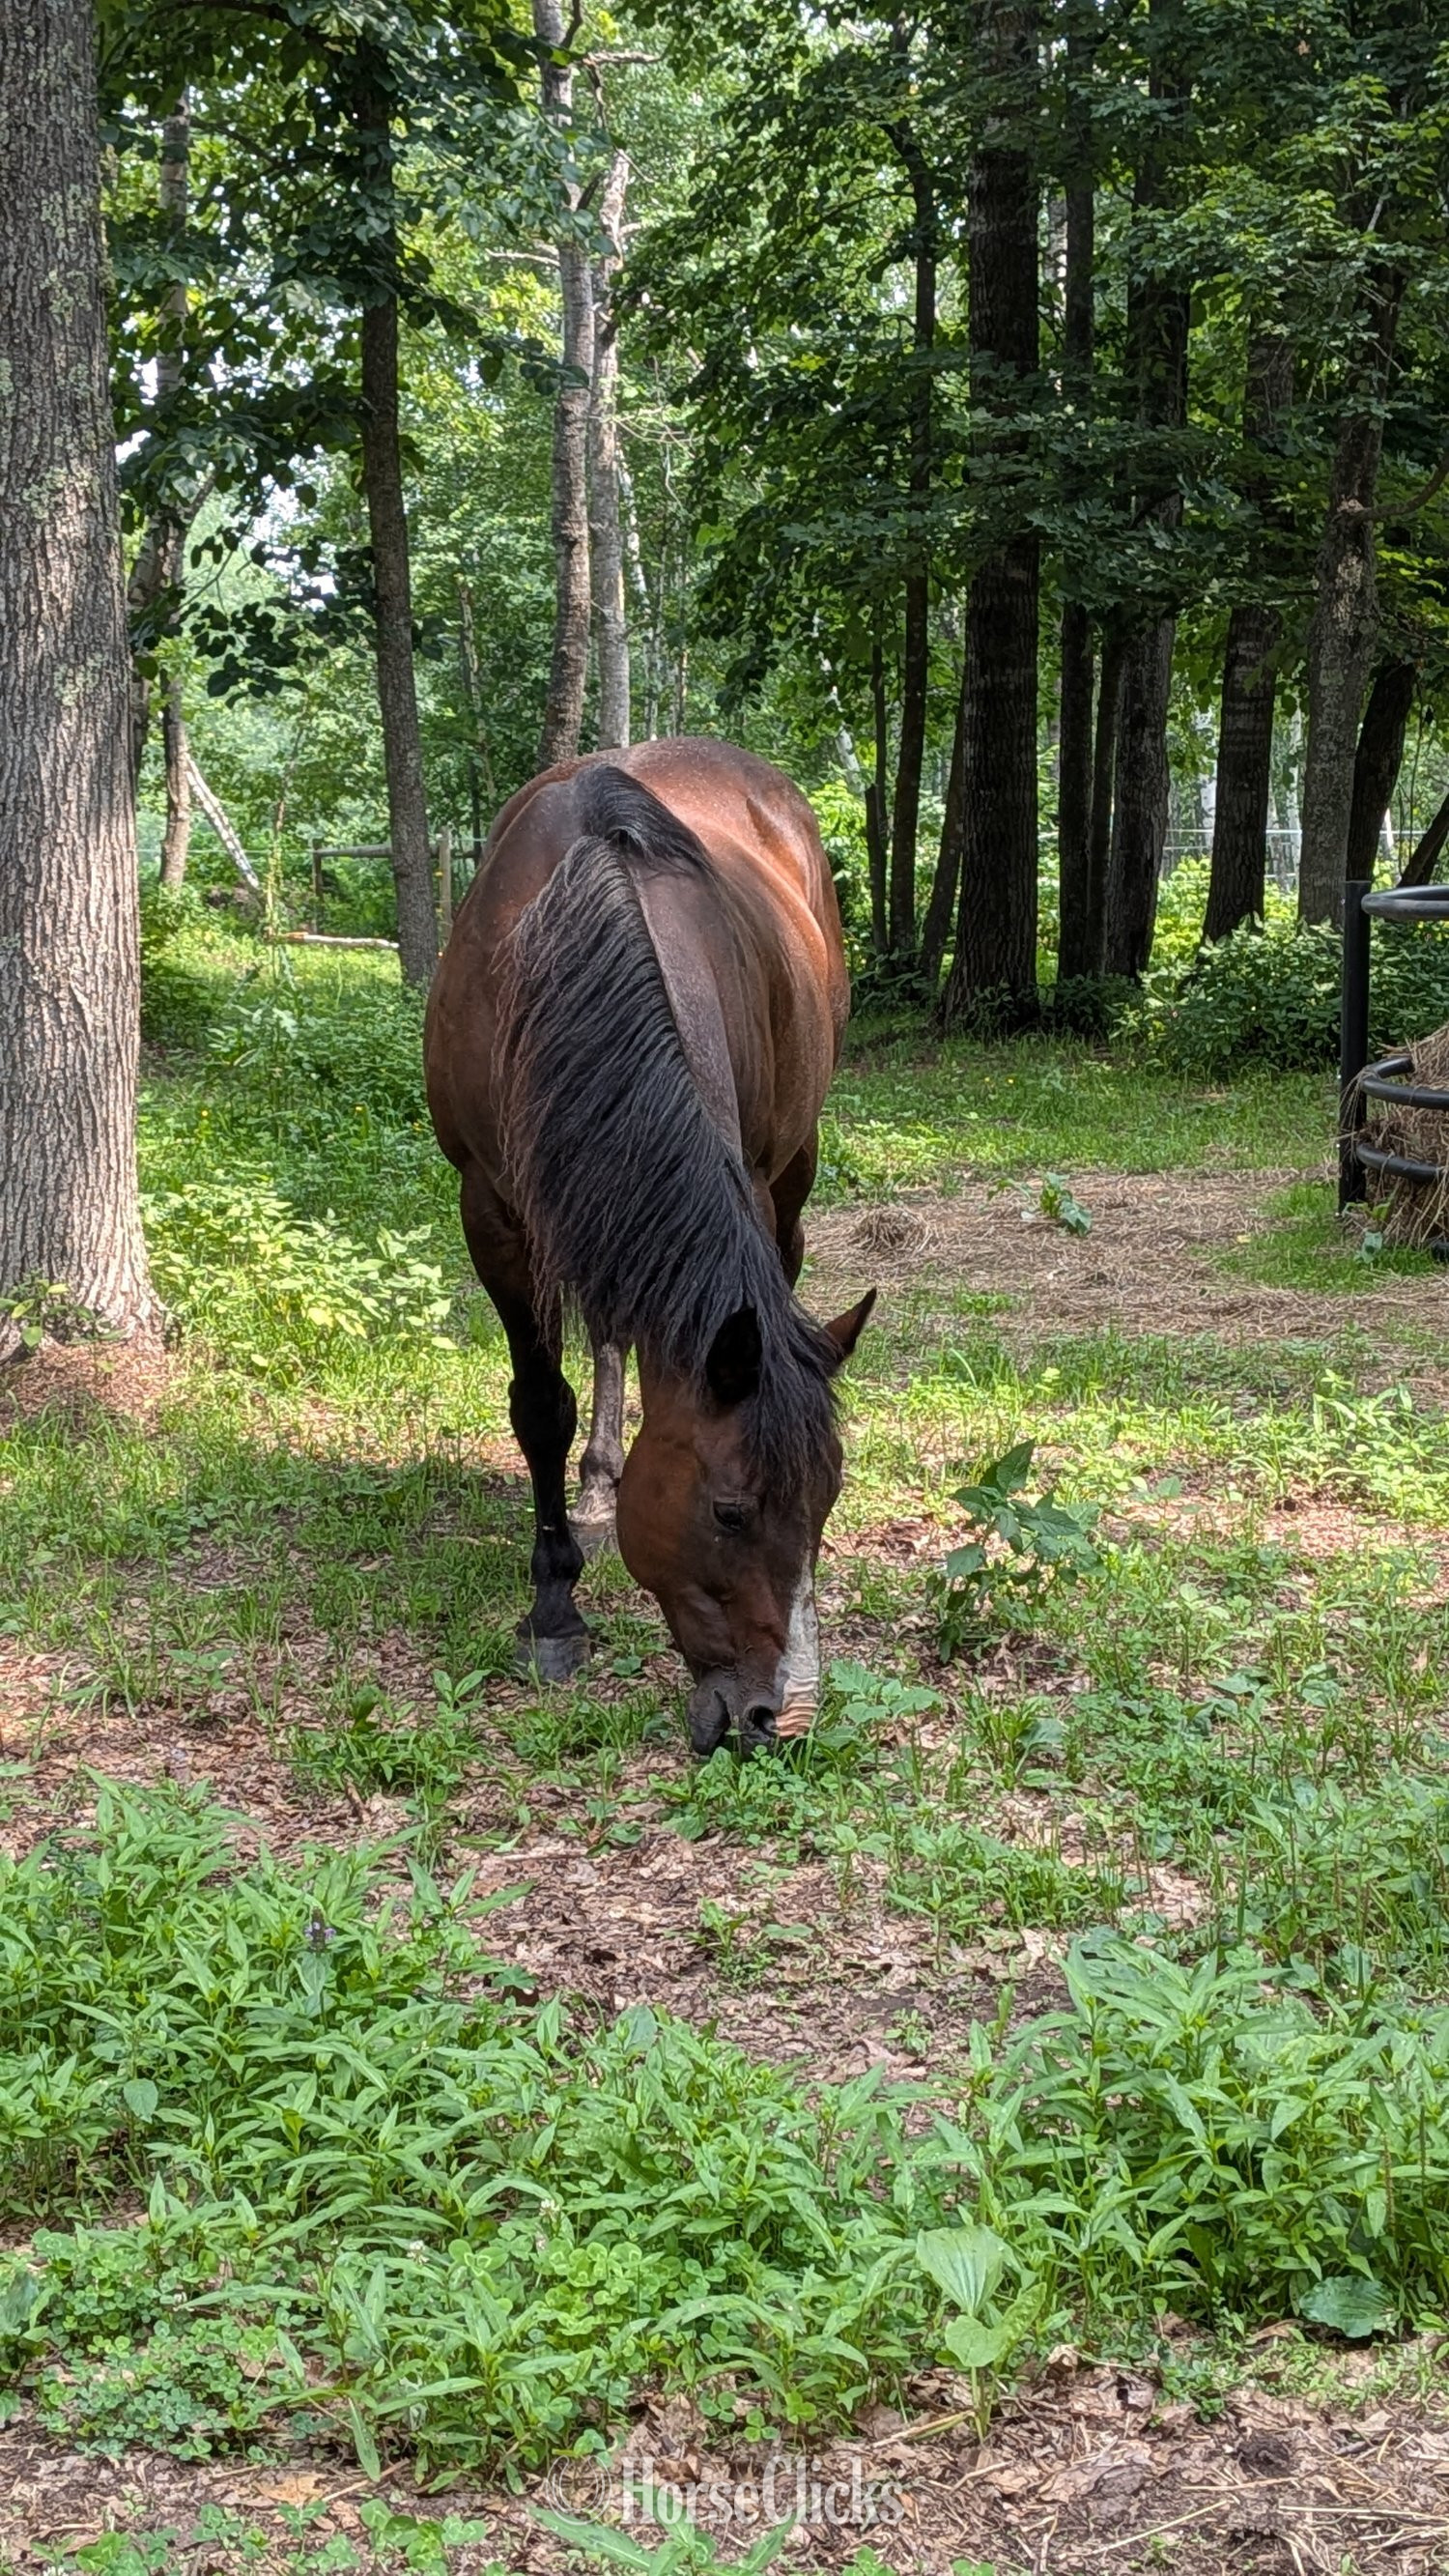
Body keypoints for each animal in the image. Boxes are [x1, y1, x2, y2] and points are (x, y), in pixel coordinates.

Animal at [424, 737, 874, 1755]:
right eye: (729, 1512)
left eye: (827, 1503)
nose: (779, 1719)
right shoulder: (493, 1211)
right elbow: (539, 1406)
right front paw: (555, 1608)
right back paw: (596, 1483)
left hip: (792, 1167)